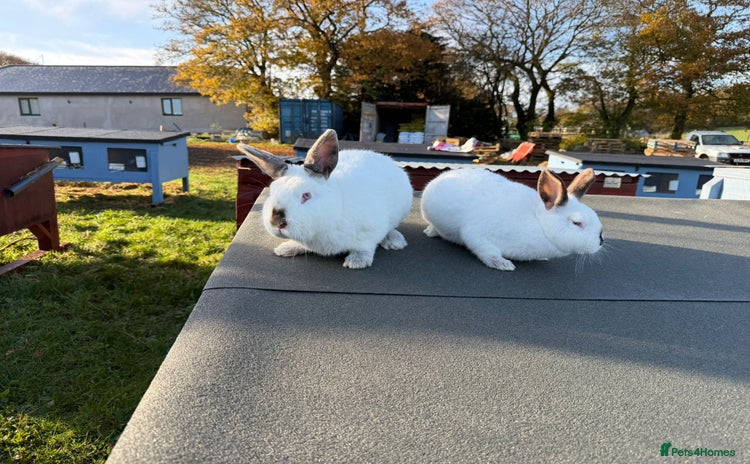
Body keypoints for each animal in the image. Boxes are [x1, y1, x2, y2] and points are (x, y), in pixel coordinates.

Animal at [237, 129, 413, 269]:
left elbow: (365, 247)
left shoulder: (371, 231)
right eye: (272, 191)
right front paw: (286, 248)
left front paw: (356, 262)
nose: (277, 222)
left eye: (306, 195)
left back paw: (395, 241)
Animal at [420, 167, 603, 271]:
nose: (600, 241)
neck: (539, 223)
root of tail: (441, 176)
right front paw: (503, 264)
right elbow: (487, 251)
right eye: (577, 223)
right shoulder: (478, 235)